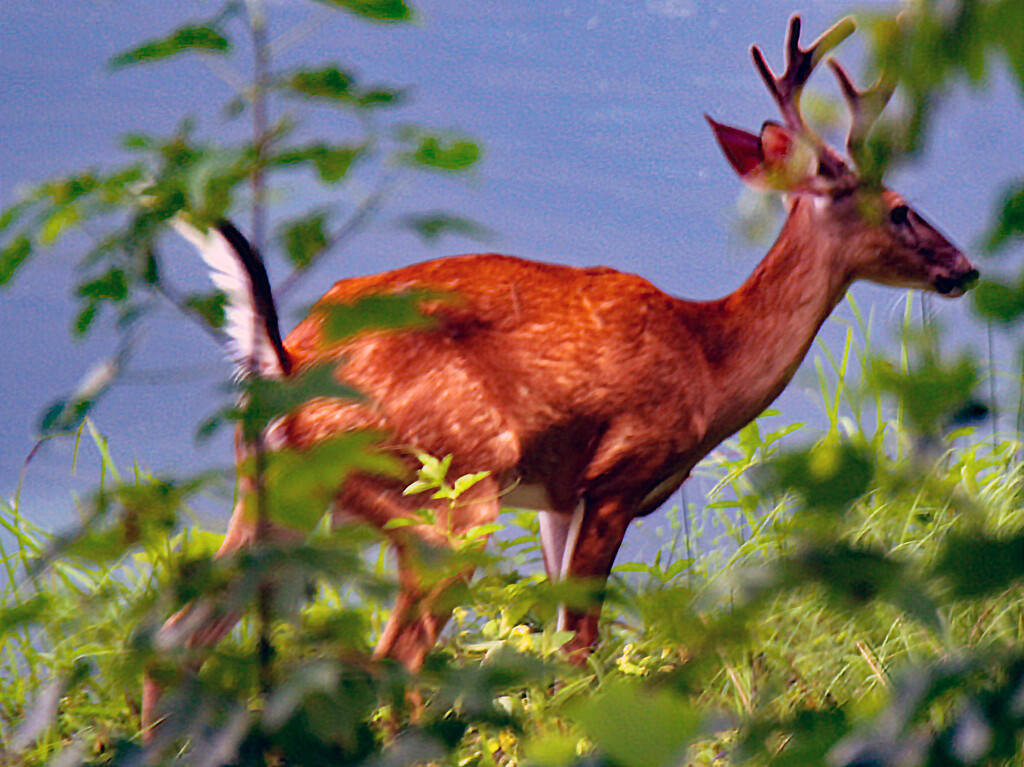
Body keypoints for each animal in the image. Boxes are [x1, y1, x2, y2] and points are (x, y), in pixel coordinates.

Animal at [140, 14, 978, 737]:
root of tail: (287, 359)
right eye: (899, 207)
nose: (963, 268)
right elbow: (580, 645)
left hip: (273, 494)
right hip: (445, 494)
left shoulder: (556, 494)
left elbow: (552, 644)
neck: (710, 362)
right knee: (391, 658)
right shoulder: (619, 470)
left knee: (175, 640)